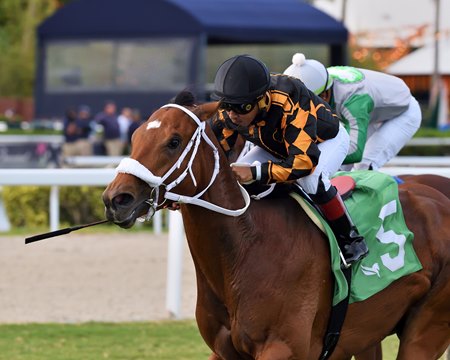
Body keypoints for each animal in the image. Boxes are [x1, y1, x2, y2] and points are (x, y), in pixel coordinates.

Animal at [103, 94, 450, 358]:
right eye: (134, 137)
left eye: (173, 141)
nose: (116, 199)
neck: (246, 248)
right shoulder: (223, 350)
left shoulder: (282, 348)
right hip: (369, 334)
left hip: (425, 330)